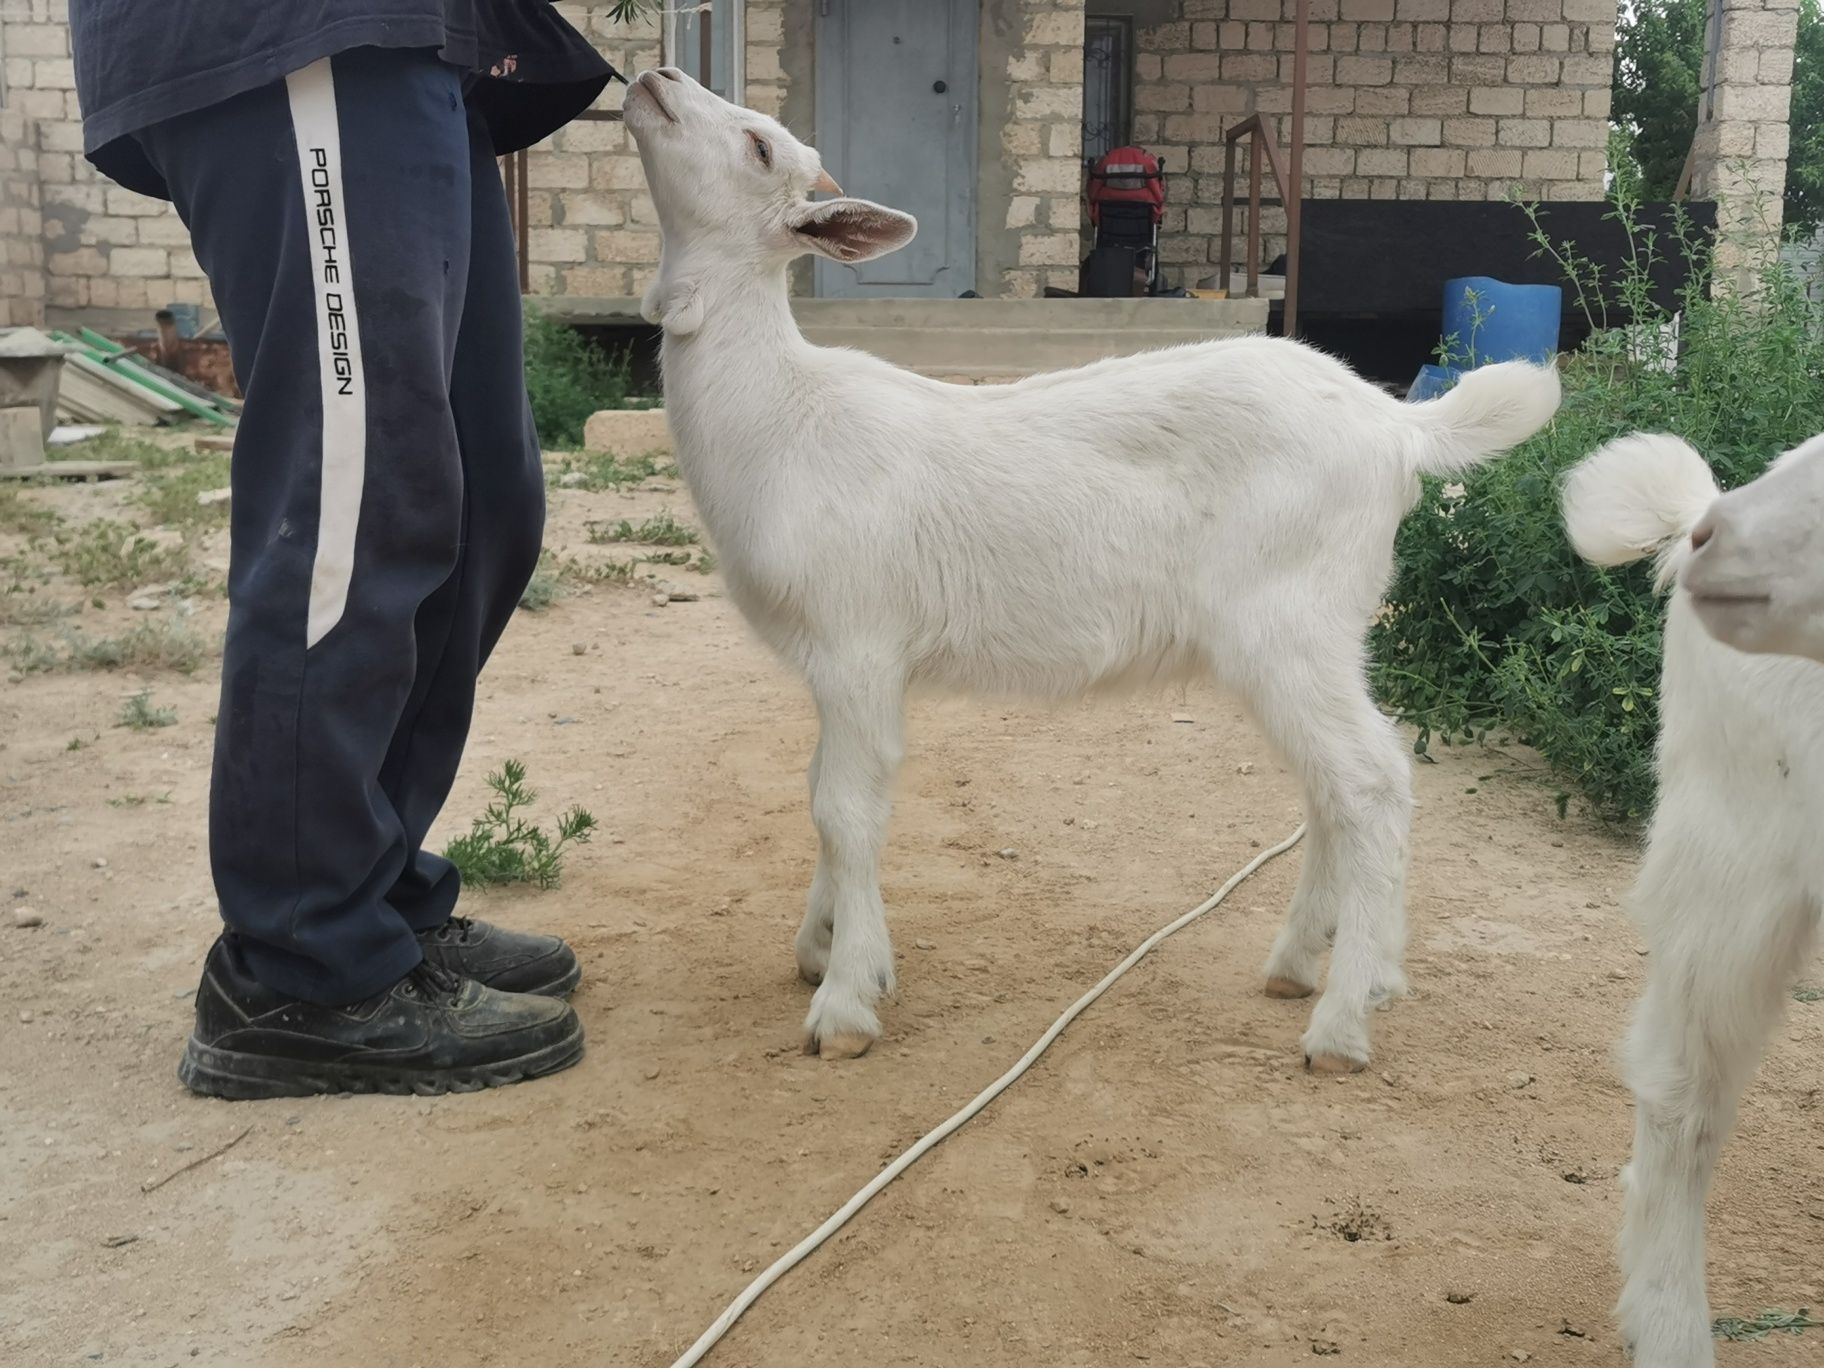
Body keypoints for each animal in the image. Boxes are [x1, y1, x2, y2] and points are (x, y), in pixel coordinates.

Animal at [620, 67, 1561, 1072]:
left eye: (759, 146)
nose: (656, 77)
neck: (783, 414)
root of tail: (1399, 426)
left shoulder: (857, 645)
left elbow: (845, 807)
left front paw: (845, 1001)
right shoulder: (838, 663)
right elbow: (821, 795)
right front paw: (821, 947)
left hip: (1289, 621)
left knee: (1371, 782)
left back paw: (1344, 1022)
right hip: (1314, 635)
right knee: (1333, 788)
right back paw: (1311, 965)